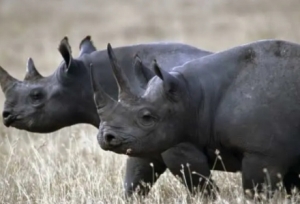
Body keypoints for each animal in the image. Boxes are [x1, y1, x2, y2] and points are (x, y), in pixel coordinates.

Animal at [0, 36, 224, 198]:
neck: (82, 79)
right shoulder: (140, 138)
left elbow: (202, 187)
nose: (6, 115)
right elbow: (134, 183)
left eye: (36, 96)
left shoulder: (176, 143)